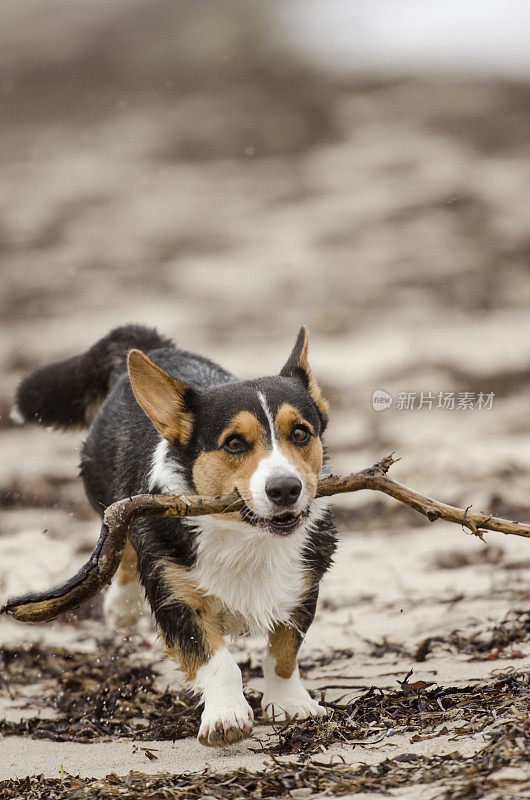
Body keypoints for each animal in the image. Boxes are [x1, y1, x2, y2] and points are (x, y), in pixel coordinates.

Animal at [12, 324, 336, 744]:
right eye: (234, 443)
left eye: (300, 433)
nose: (285, 489)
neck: (245, 534)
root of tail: (153, 347)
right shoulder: (177, 600)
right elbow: (220, 662)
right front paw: (227, 717)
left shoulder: (302, 585)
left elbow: (284, 652)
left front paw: (290, 705)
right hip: (116, 503)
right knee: (120, 546)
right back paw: (120, 607)